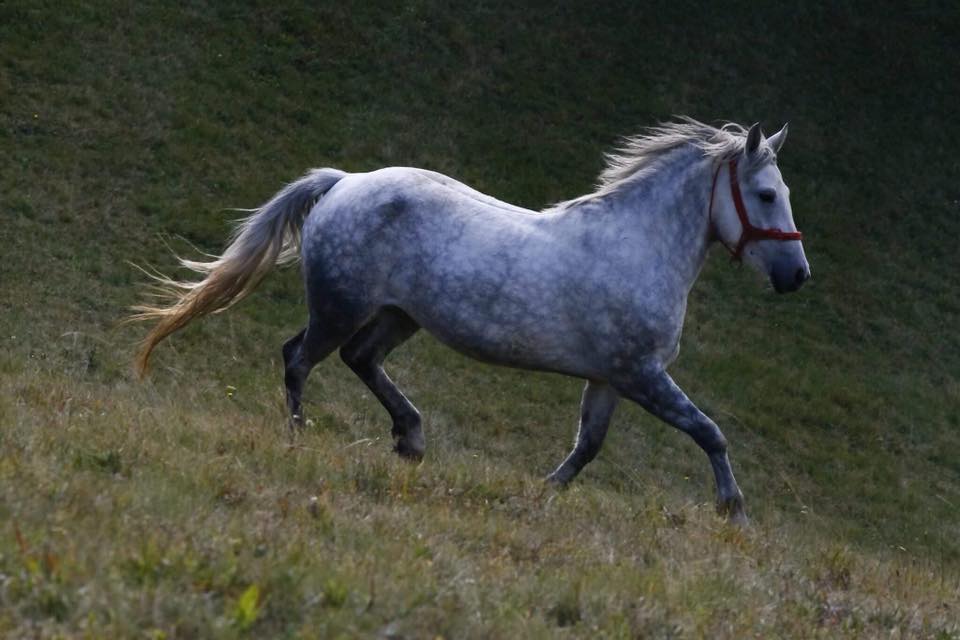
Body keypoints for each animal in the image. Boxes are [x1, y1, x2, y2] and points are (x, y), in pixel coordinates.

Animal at [131, 118, 809, 524]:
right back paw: (300, 438)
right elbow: (710, 432)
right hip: (338, 308)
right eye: (767, 195)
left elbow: (587, 446)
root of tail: (345, 182)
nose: (797, 276)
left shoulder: (610, 379)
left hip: (397, 316)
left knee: (359, 360)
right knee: (298, 359)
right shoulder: (642, 375)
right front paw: (734, 510)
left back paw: (410, 439)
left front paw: (544, 493)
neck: (638, 245)